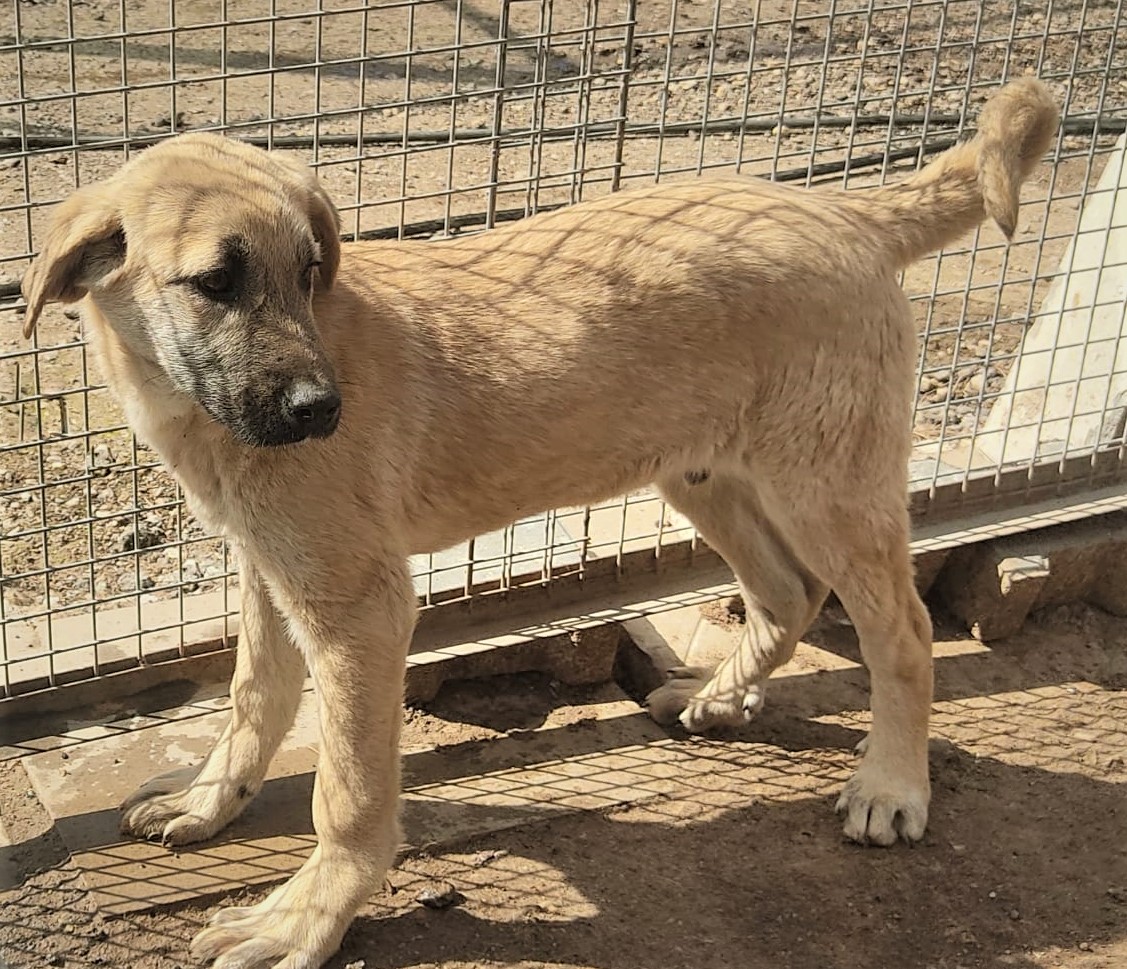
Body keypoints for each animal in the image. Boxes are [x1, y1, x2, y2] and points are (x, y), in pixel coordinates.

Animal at [20, 78, 1058, 969]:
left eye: (311, 272)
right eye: (214, 284)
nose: (322, 411)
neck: (191, 412)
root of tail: (843, 211)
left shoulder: (359, 608)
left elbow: (347, 793)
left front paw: (305, 917)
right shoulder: (272, 569)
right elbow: (252, 701)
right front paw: (210, 801)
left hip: (827, 486)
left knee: (901, 630)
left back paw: (890, 784)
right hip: (706, 473)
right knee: (786, 590)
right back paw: (718, 697)